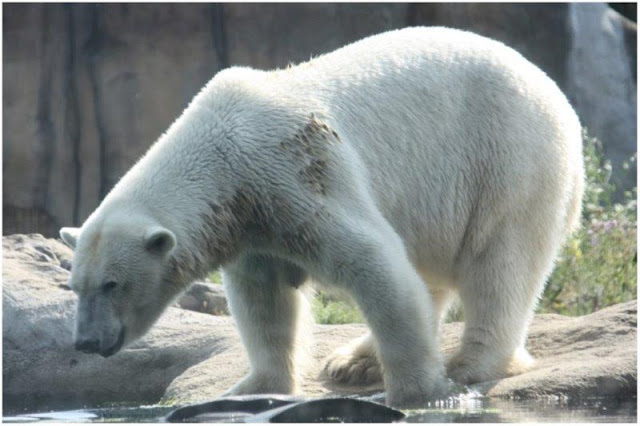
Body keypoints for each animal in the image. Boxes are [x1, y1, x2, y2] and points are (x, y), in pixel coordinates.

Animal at [60, 27, 584, 410]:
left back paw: (469, 363)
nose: (85, 341)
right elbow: (264, 301)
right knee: (432, 270)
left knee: (500, 260)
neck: (222, 155)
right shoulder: (249, 220)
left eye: (112, 284)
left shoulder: (297, 172)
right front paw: (252, 387)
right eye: (75, 286)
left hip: (509, 157)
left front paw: (417, 394)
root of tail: (555, 92)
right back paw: (352, 360)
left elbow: (374, 263)